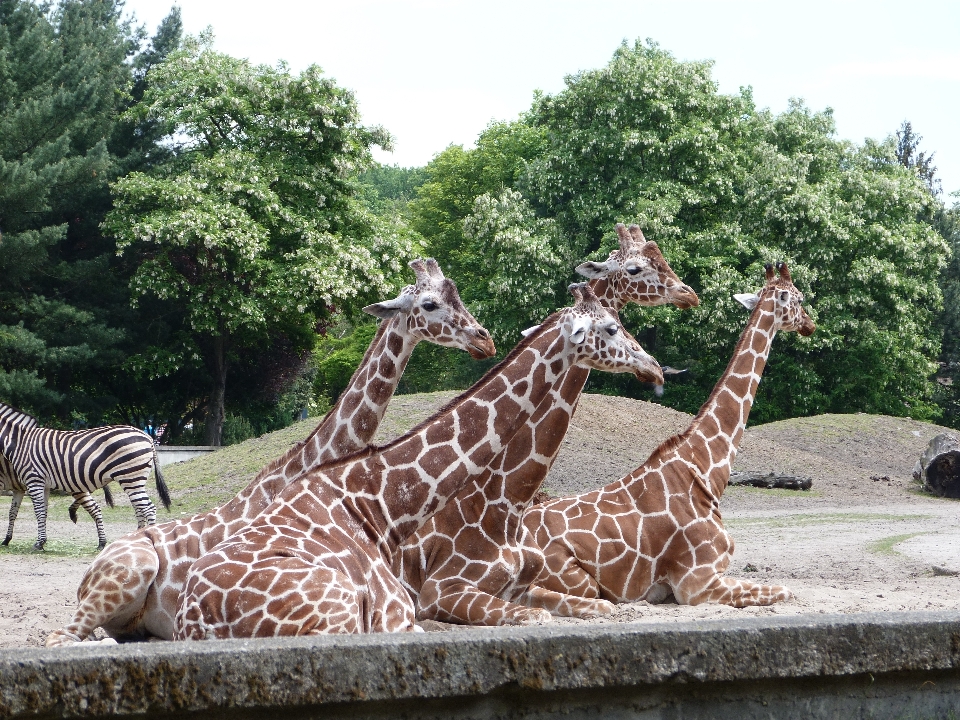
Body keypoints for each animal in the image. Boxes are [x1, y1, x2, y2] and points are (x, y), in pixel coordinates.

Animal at [0, 402, 171, 548]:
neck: (19, 442)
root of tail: (147, 436)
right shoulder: (43, 484)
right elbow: (42, 512)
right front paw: (41, 541)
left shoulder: (33, 479)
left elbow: (38, 511)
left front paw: (38, 543)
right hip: (132, 480)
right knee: (139, 508)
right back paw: (133, 540)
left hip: (131, 477)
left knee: (148, 508)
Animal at [172, 284, 664, 640]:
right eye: (612, 329)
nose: (655, 367)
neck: (383, 503)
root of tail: (197, 622)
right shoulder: (421, 602)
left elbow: (603, 606)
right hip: (340, 614)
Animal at [520, 262, 812, 612]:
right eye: (798, 299)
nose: (810, 325)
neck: (705, 466)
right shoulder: (697, 584)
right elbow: (786, 591)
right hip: (577, 580)